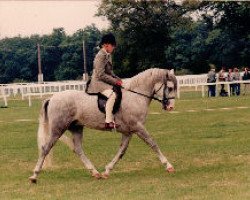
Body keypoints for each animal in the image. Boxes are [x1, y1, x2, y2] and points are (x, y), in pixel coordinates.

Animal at [29, 68, 177, 183]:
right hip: (58, 129)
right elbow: (153, 144)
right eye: (170, 88)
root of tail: (52, 97)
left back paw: (95, 173)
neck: (135, 96)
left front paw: (107, 171)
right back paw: (34, 176)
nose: (170, 107)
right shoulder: (138, 127)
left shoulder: (128, 131)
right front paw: (168, 166)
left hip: (76, 127)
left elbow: (121, 151)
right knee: (45, 148)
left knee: (78, 149)